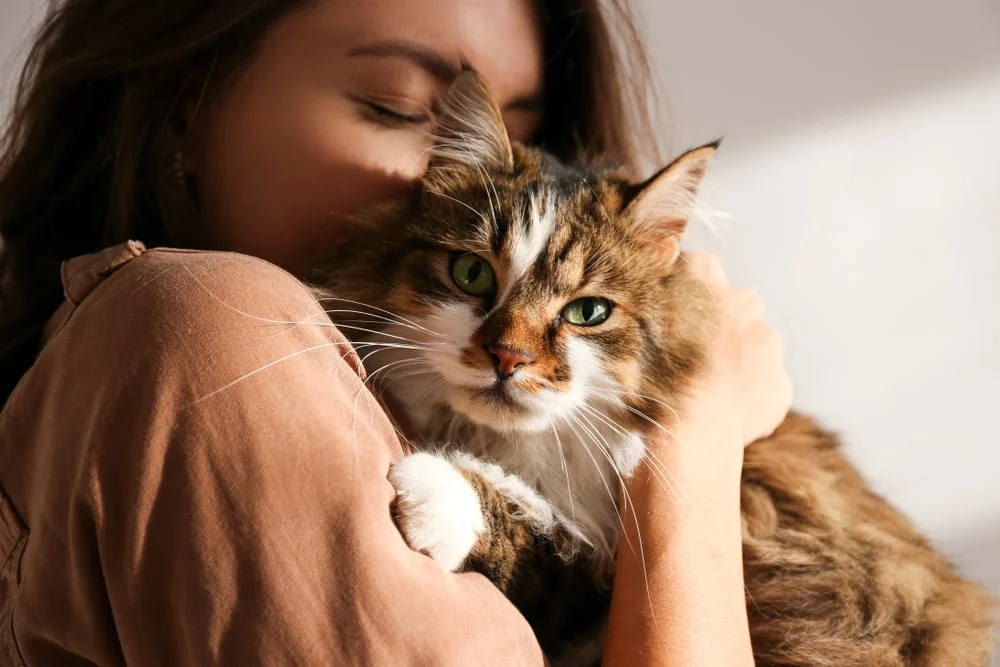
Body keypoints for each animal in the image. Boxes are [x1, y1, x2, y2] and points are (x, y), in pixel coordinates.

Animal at [308, 70, 996, 664]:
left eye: (588, 312)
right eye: (472, 274)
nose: (508, 357)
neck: (515, 449)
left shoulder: (598, 575)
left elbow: (536, 532)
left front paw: (437, 491)